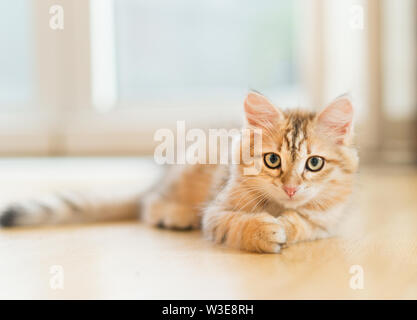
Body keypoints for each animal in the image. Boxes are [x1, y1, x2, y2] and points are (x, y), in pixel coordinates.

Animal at [0, 92, 358, 252]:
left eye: (314, 163)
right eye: (272, 161)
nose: (291, 188)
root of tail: (158, 179)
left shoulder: (327, 221)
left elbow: (304, 223)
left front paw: (287, 225)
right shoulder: (214, 212)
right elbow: (239, 223)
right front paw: (266, 230)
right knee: (149, 205)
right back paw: (176, 215)